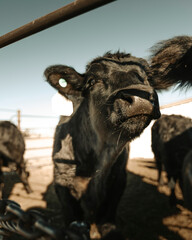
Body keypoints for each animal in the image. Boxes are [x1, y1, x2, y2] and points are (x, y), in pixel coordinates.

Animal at [44, 35, 192, 238]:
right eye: (92, 81)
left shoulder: (118, 181)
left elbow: (108, 221)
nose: (140, 98)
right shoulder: (62, 182)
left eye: (147, 78)